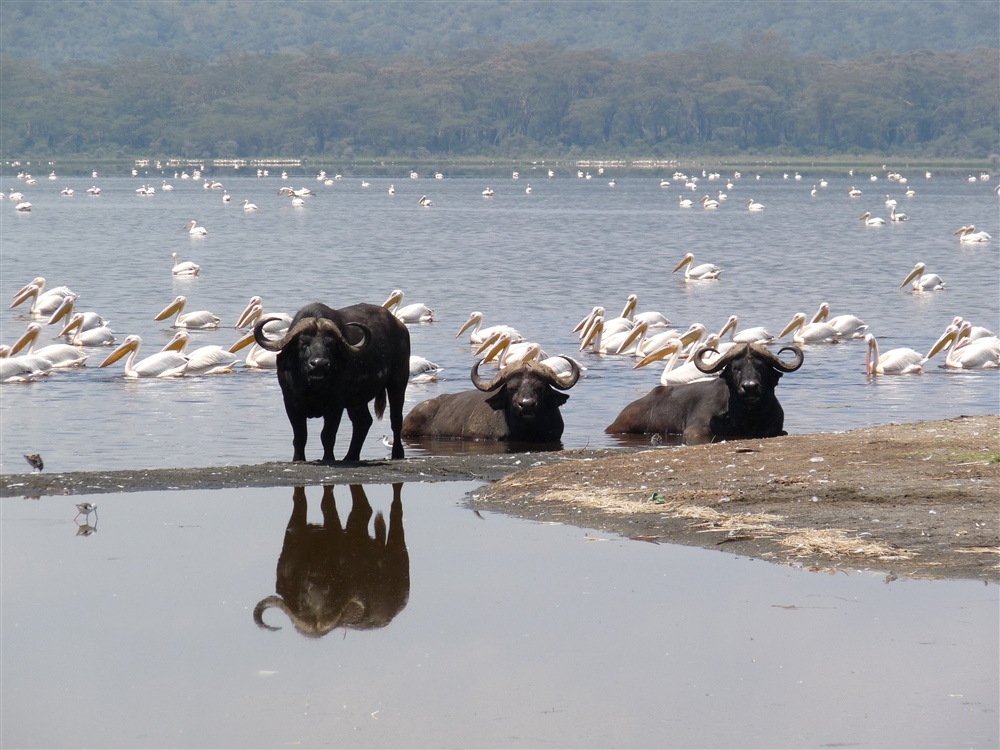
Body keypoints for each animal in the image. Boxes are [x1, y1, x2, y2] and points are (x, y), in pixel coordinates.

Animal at [254, 302, 410, 462]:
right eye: (303, 343)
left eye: (330, 344)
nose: (319, 364)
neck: (313, 387)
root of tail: (400, 327)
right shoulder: (291, 403)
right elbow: (300, 436)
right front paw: (298, 458)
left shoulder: (335, 405)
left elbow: (327, 435)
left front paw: (328, 458)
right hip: (357, 400)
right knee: (363, 422)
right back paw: (350, 457)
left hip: (398, 381)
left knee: (396, 419)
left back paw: (397, 454)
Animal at [254, 488, 410, 640]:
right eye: (303, 601)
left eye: (330, 600)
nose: (318, 587)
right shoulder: (294, 530)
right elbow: (301, 500)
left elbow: (325, 503)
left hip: (398, 550)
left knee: (392, 509)